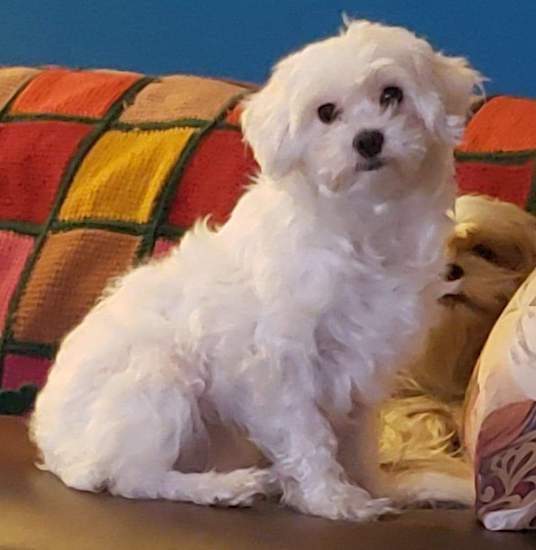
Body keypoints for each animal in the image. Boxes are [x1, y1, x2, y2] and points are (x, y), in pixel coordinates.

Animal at [30, 20, 482, 520]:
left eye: (392, 94)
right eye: (326, 112)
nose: (368, 139)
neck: (362, 223)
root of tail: (57, 452)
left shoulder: (361, 370)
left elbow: (356, 438)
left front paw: (377, 486)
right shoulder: (278, 363)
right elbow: (307, 435)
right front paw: (333, 498)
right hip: (159, 379)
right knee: (134, 477)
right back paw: (222, 487)